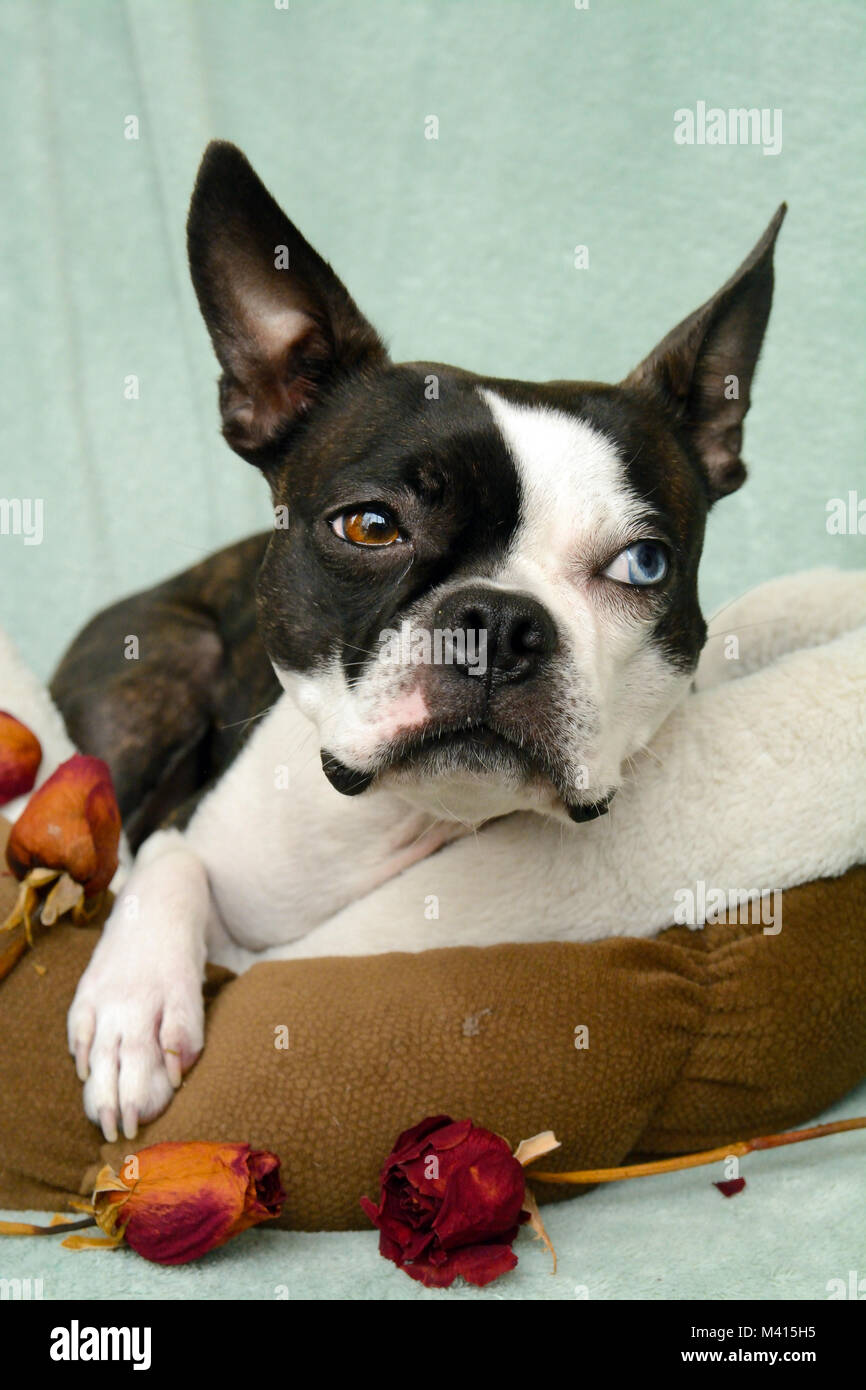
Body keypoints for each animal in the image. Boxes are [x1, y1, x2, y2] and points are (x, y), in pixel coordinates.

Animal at [57, 141, 789, 1139]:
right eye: (370, 526)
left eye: (644, 565)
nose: (500, 624)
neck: (410, 820)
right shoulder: (195, 819)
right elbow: (166, 859)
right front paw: (132, 1009)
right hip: (162, 679)